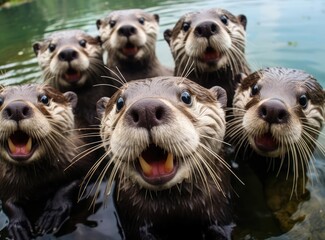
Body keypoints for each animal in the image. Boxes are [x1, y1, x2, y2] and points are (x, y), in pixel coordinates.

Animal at [0, 83, 93, 239]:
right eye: (0, 100)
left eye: (44, 99)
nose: (16, 108)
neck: (40, 183)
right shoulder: (5, 181)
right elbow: (7, 203)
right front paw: (18, 226)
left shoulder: (83, 161)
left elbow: (74, 183)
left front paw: (53, 213)